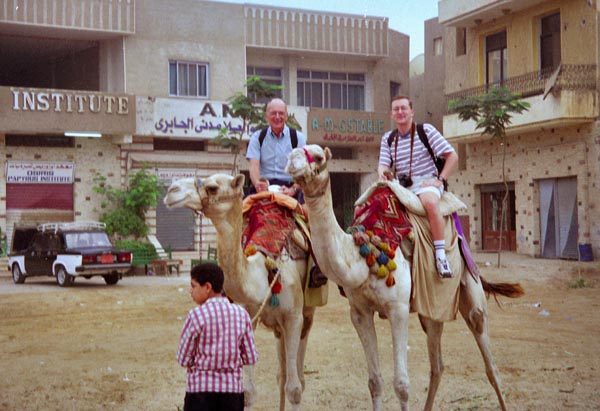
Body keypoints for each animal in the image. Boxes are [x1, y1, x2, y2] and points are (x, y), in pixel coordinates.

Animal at [162, 175, 316, 411]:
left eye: (212, 187)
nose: (172, 190)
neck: (263, 272)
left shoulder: (293, 317)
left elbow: (295, 390)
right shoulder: (248, 317)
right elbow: (249, 392)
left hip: (306, 314)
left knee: (297, 375)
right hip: (278, 327)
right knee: (281, 374)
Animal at [284, 145, 524, 411]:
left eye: (317, 157)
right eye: (293, 153)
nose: (292, 163)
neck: (362, 257)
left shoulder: (397, 308)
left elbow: (401, 384)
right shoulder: (359, 312)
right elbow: (375, 381)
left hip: (470, 284)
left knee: (489, 360)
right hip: (432, 305)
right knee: (437, 364)